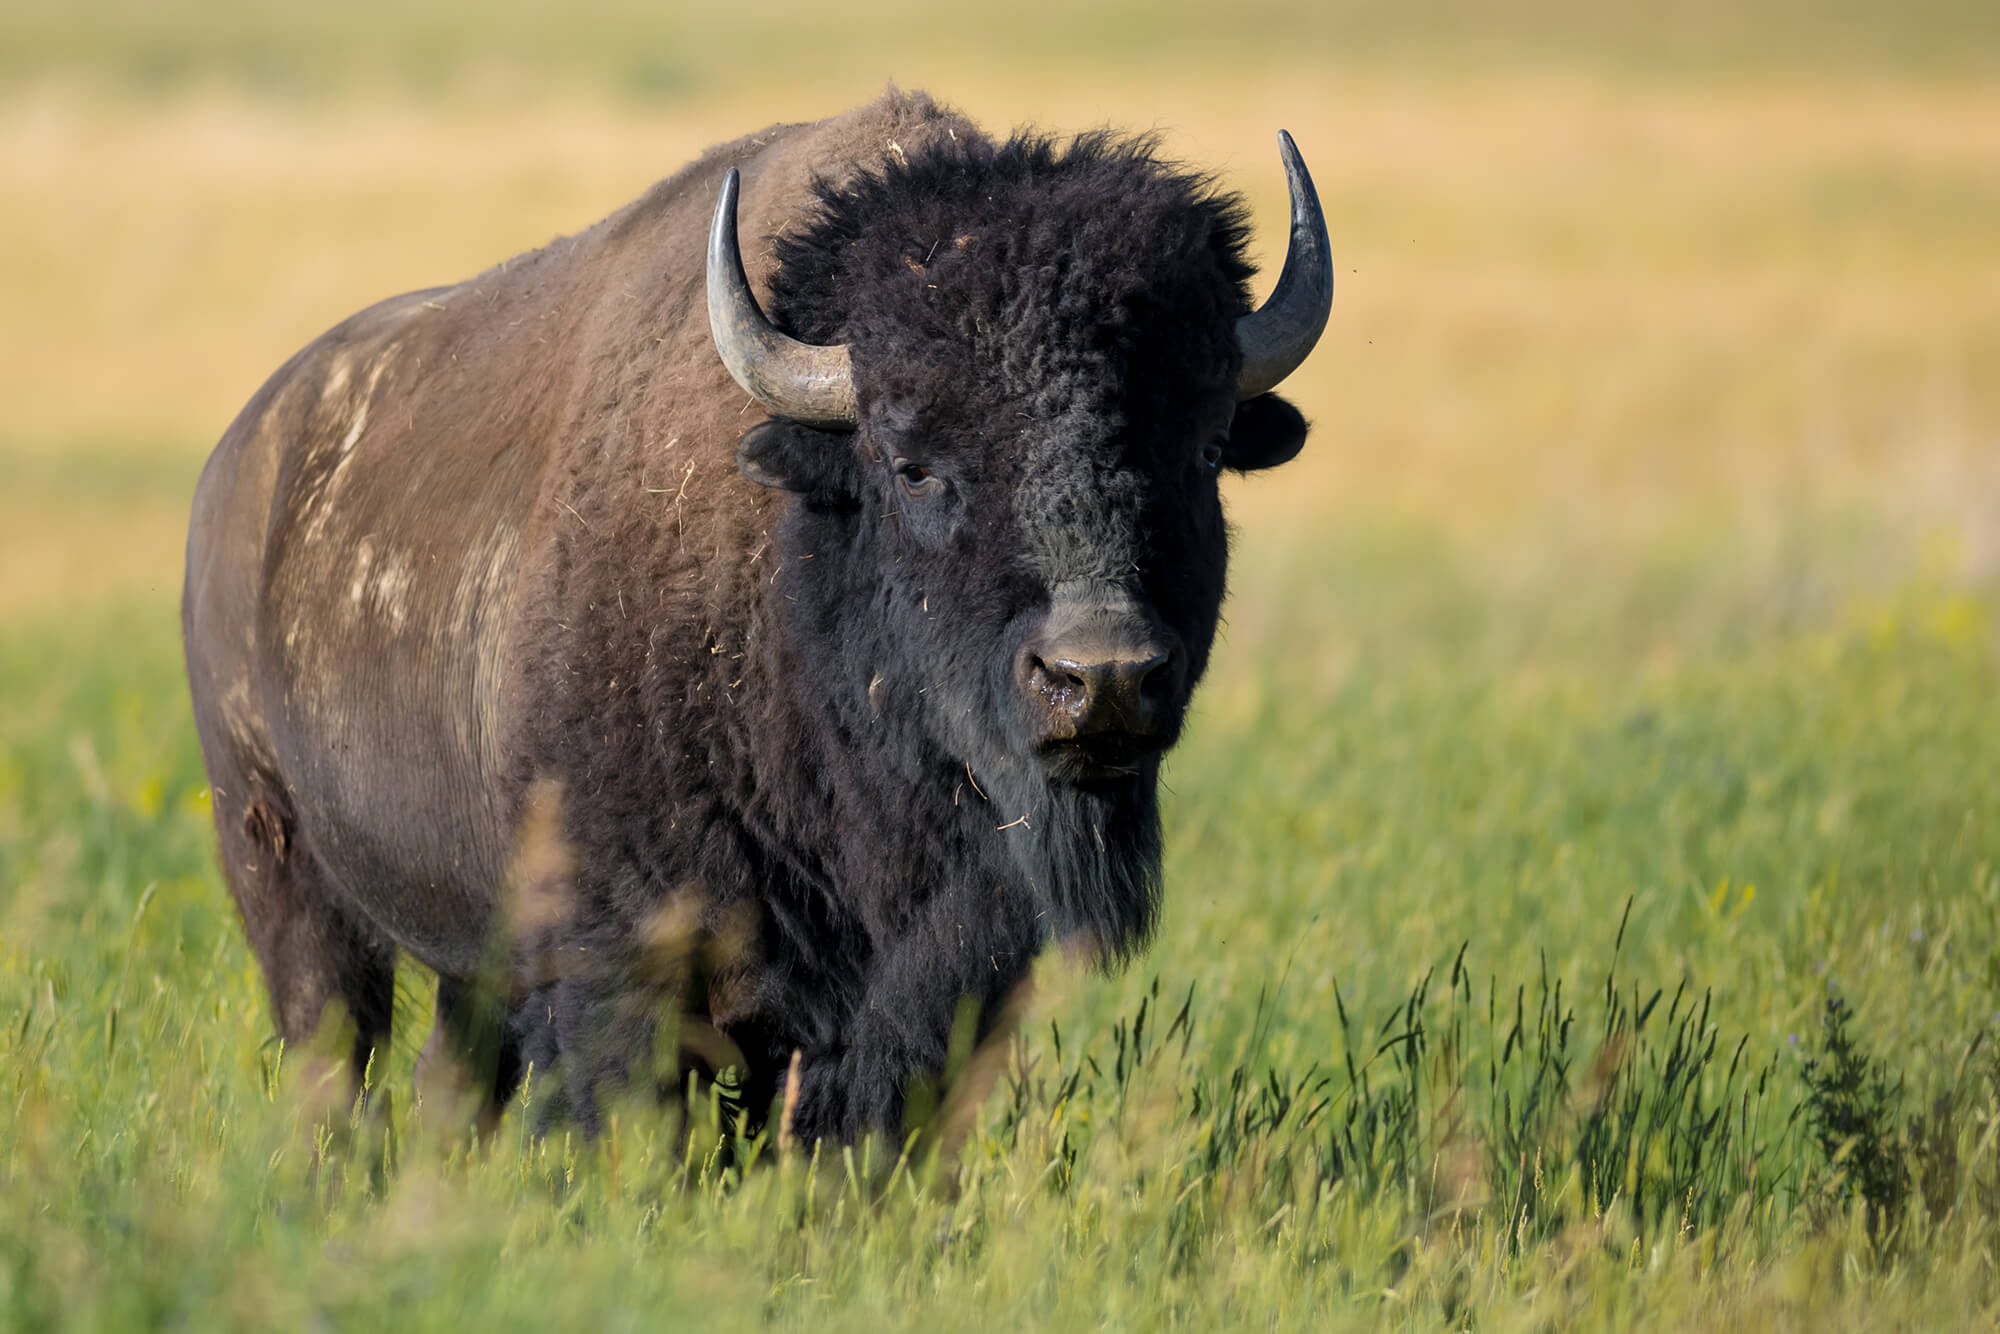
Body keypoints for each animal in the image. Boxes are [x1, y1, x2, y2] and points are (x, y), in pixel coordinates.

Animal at [182, 90, 1331, 1142]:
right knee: (335, 1059)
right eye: (911, 463)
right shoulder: (618, 952)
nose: (1100, 676)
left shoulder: (945, 984)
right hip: (282, 868)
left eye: (1201, 448)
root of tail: (244, 453)